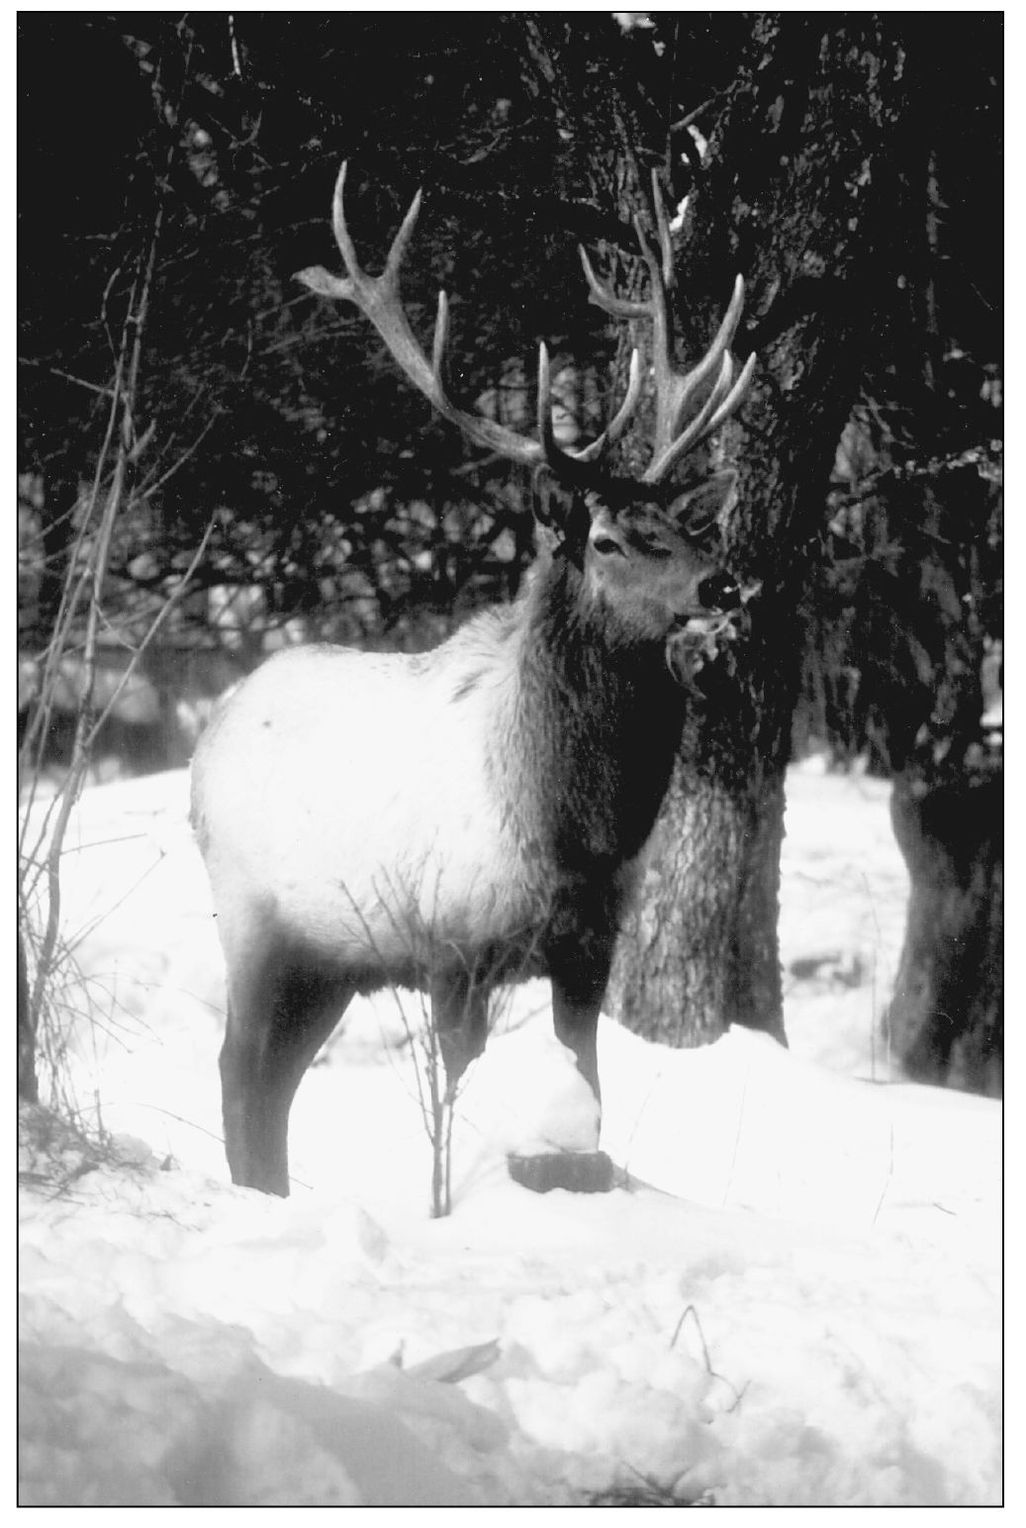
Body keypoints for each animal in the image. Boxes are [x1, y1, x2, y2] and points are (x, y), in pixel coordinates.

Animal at [190, 161, 755, 1197]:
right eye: (609, 540)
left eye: (687, 526)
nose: (721, 583)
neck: (575, 830)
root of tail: (212, 730)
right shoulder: (452, 944)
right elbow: (455, 1095)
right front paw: (447, 1202)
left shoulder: (587, 947)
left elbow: (586, 1096)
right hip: (252, 916)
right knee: (239, 1068)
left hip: (334, 958)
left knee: (276, 1081)